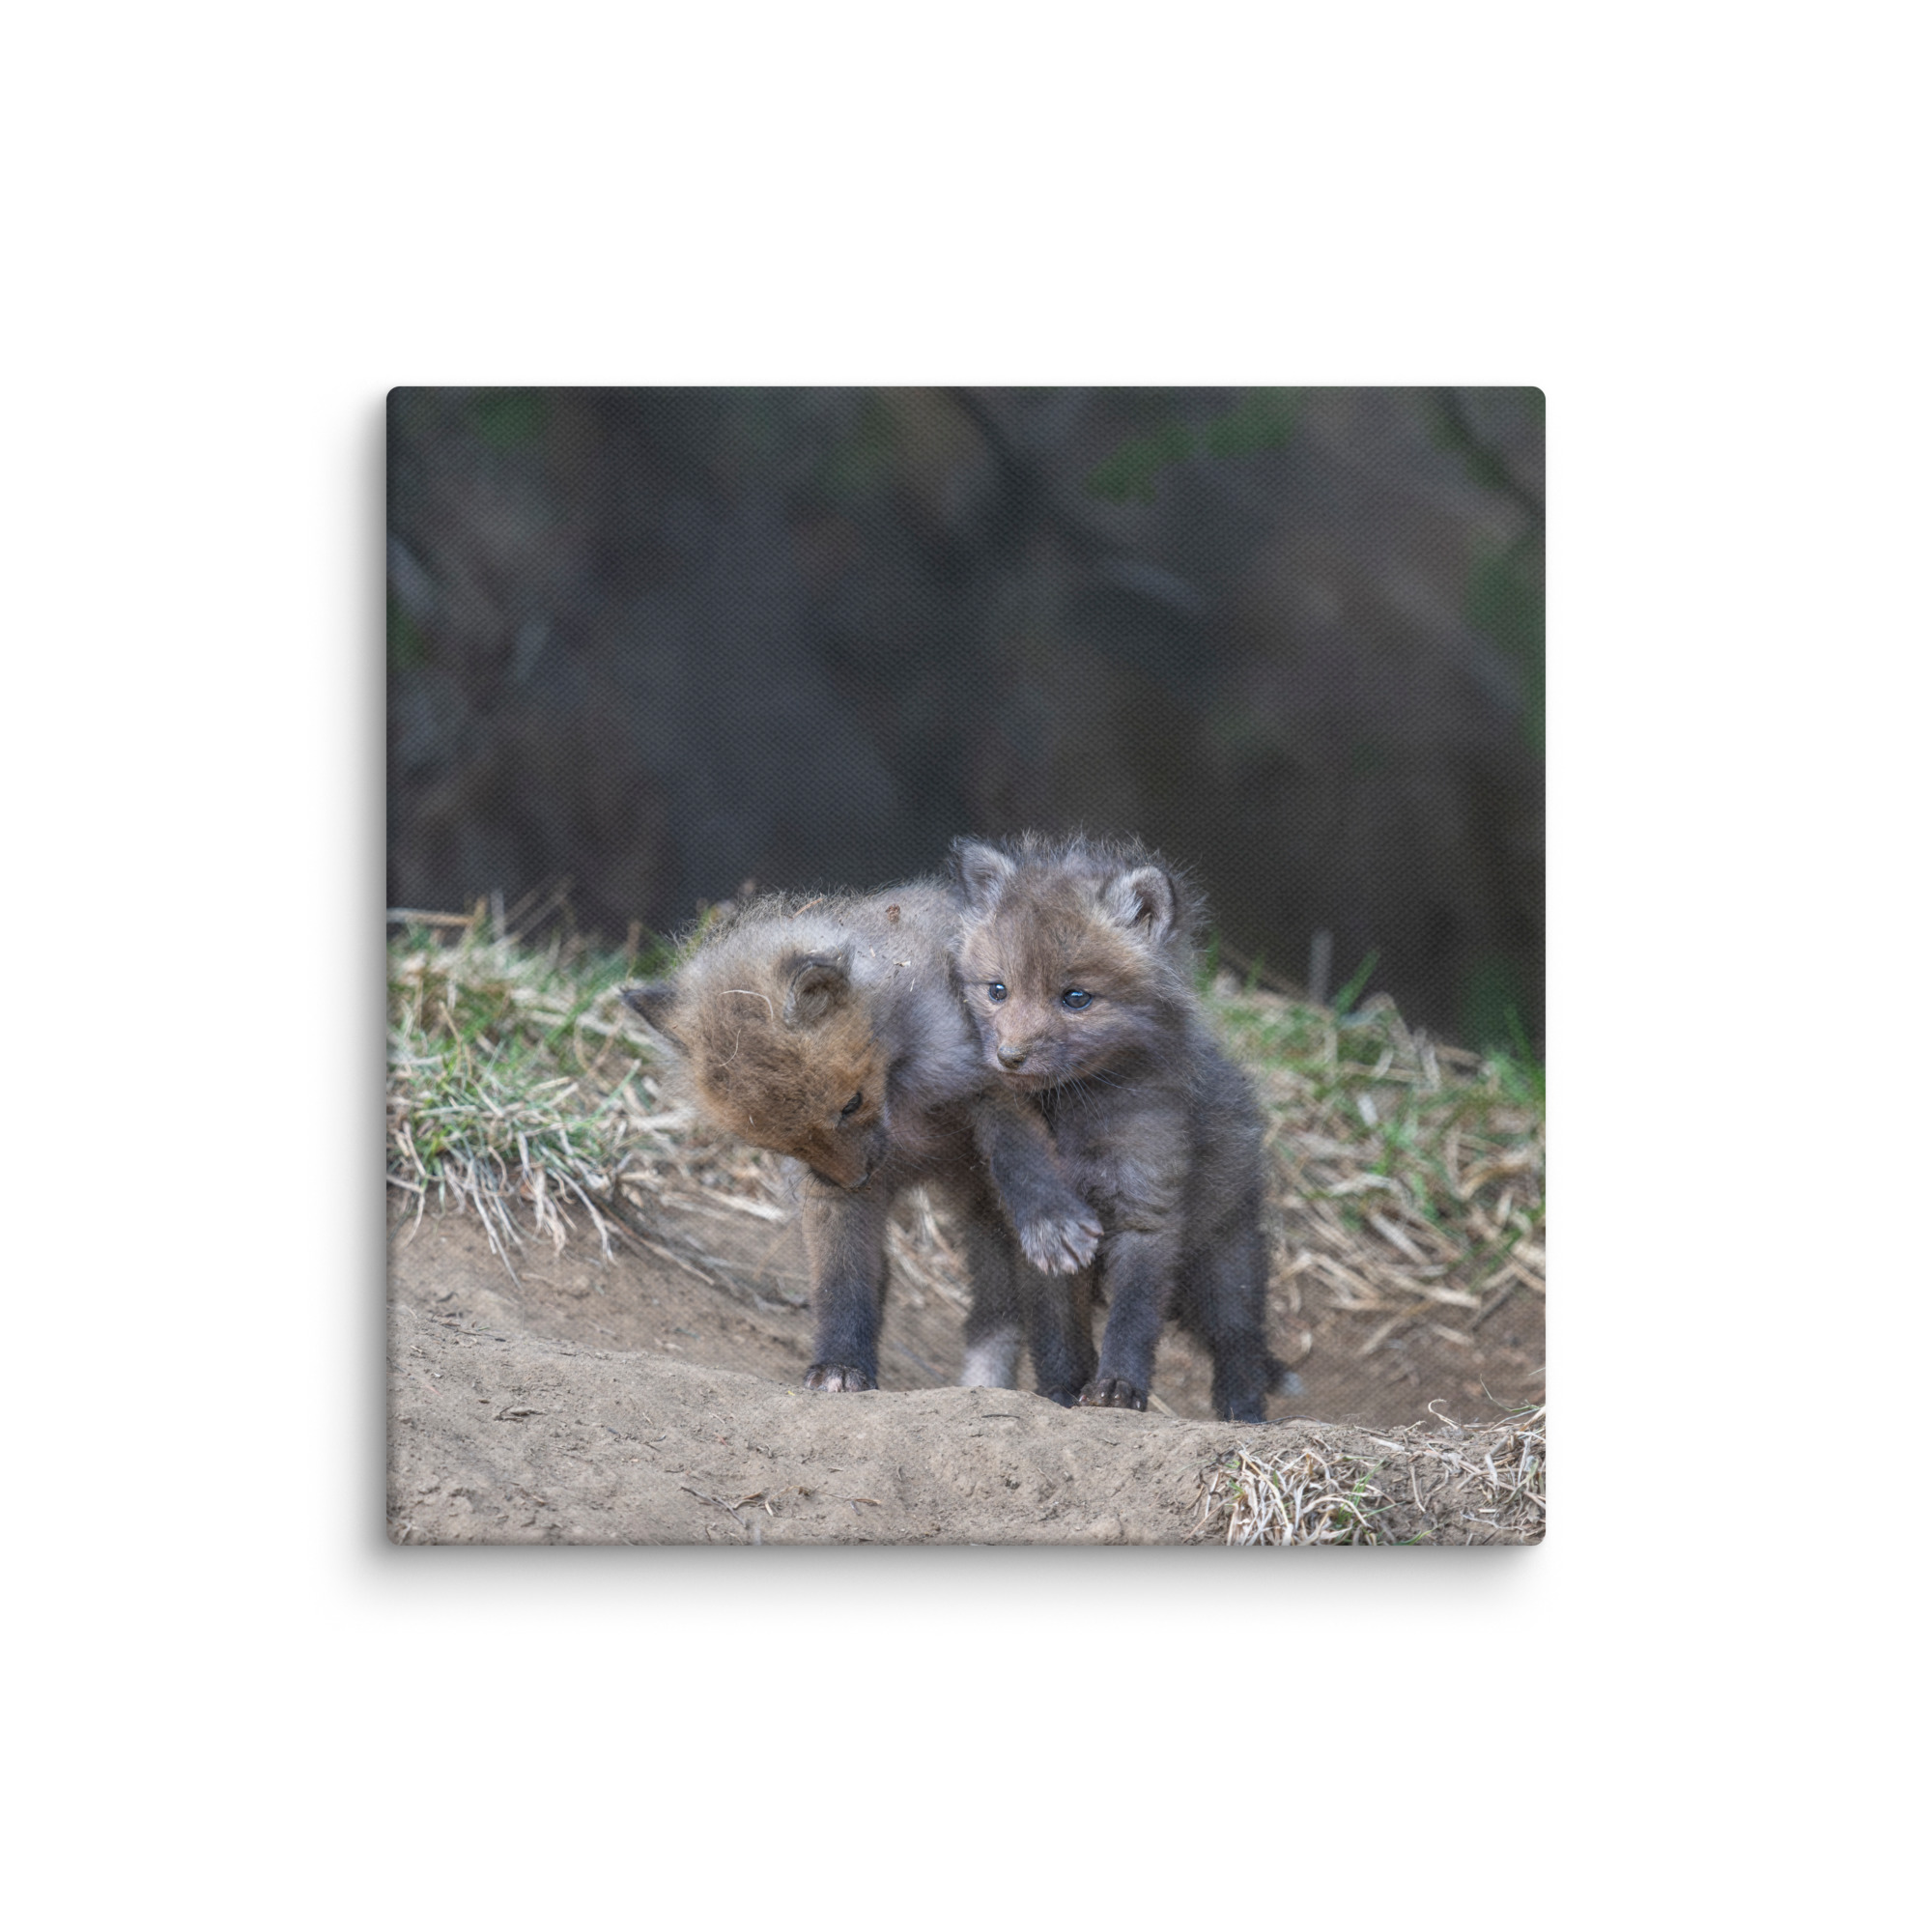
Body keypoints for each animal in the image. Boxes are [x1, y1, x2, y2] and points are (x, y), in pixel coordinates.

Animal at [622, 879, 1101, 1396]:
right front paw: (840, 1364)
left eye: (851, 1104)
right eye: (779, 1143)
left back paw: (1066, 1390)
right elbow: (842, 1281)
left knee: (1050, 1311)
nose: (855, 1180)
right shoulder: (827, 1193)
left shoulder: (993, 1081)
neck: (902, 1095)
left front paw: (1050, 1219)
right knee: (991, 1311)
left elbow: (1021, 1157)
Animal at [949, 832, 1283, 1421]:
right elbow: (1056, 1329)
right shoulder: (1042, 1239)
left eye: (1076, 998)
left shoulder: (1147, 1209)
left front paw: (1118, 1390)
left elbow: (1133, 1318)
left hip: (1226, 1262)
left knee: (1240, 1342)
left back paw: (1244, 1416)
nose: (1009, 1057)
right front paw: (1061, 1393)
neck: (1076, 1117)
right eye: (997, 990)